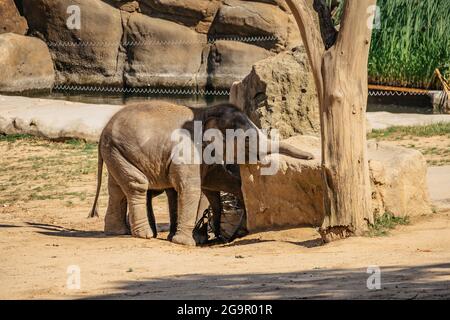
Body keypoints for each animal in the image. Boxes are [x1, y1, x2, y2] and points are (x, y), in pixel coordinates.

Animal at [88, 101, 312, 246]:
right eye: (247, 140)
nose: (310, 157)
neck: (206, 111)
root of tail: (103, 131)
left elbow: (215, 180)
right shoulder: (187, 150)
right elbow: (191, 188)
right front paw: (185, 243)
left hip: (117, 152)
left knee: (117, 188)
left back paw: (118, 232)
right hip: (119, 150)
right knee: (137, 185)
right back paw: (144, 235)